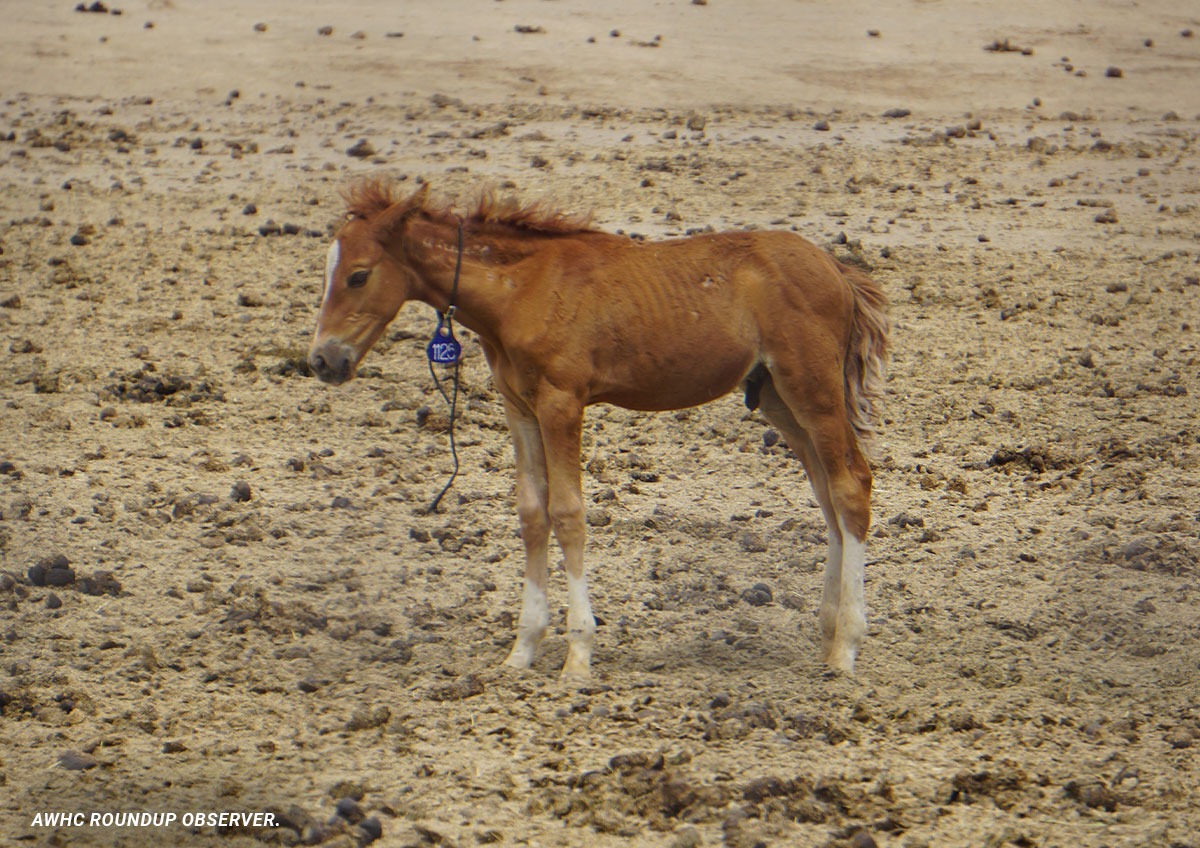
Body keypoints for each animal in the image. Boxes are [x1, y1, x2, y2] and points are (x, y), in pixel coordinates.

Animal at [309, 179, 889, 679]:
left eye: (358, 275)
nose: (322, 361)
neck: (521, 290)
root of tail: (838, 270)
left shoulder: (561, 403)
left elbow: (567, 513)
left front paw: (578, 655)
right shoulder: (519, 407)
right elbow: (531, 513)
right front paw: (521, 651)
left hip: (812, 389)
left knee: (851, 486)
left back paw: (846, 648)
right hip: (776, 399)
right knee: (827, 496)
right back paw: (827, 633)